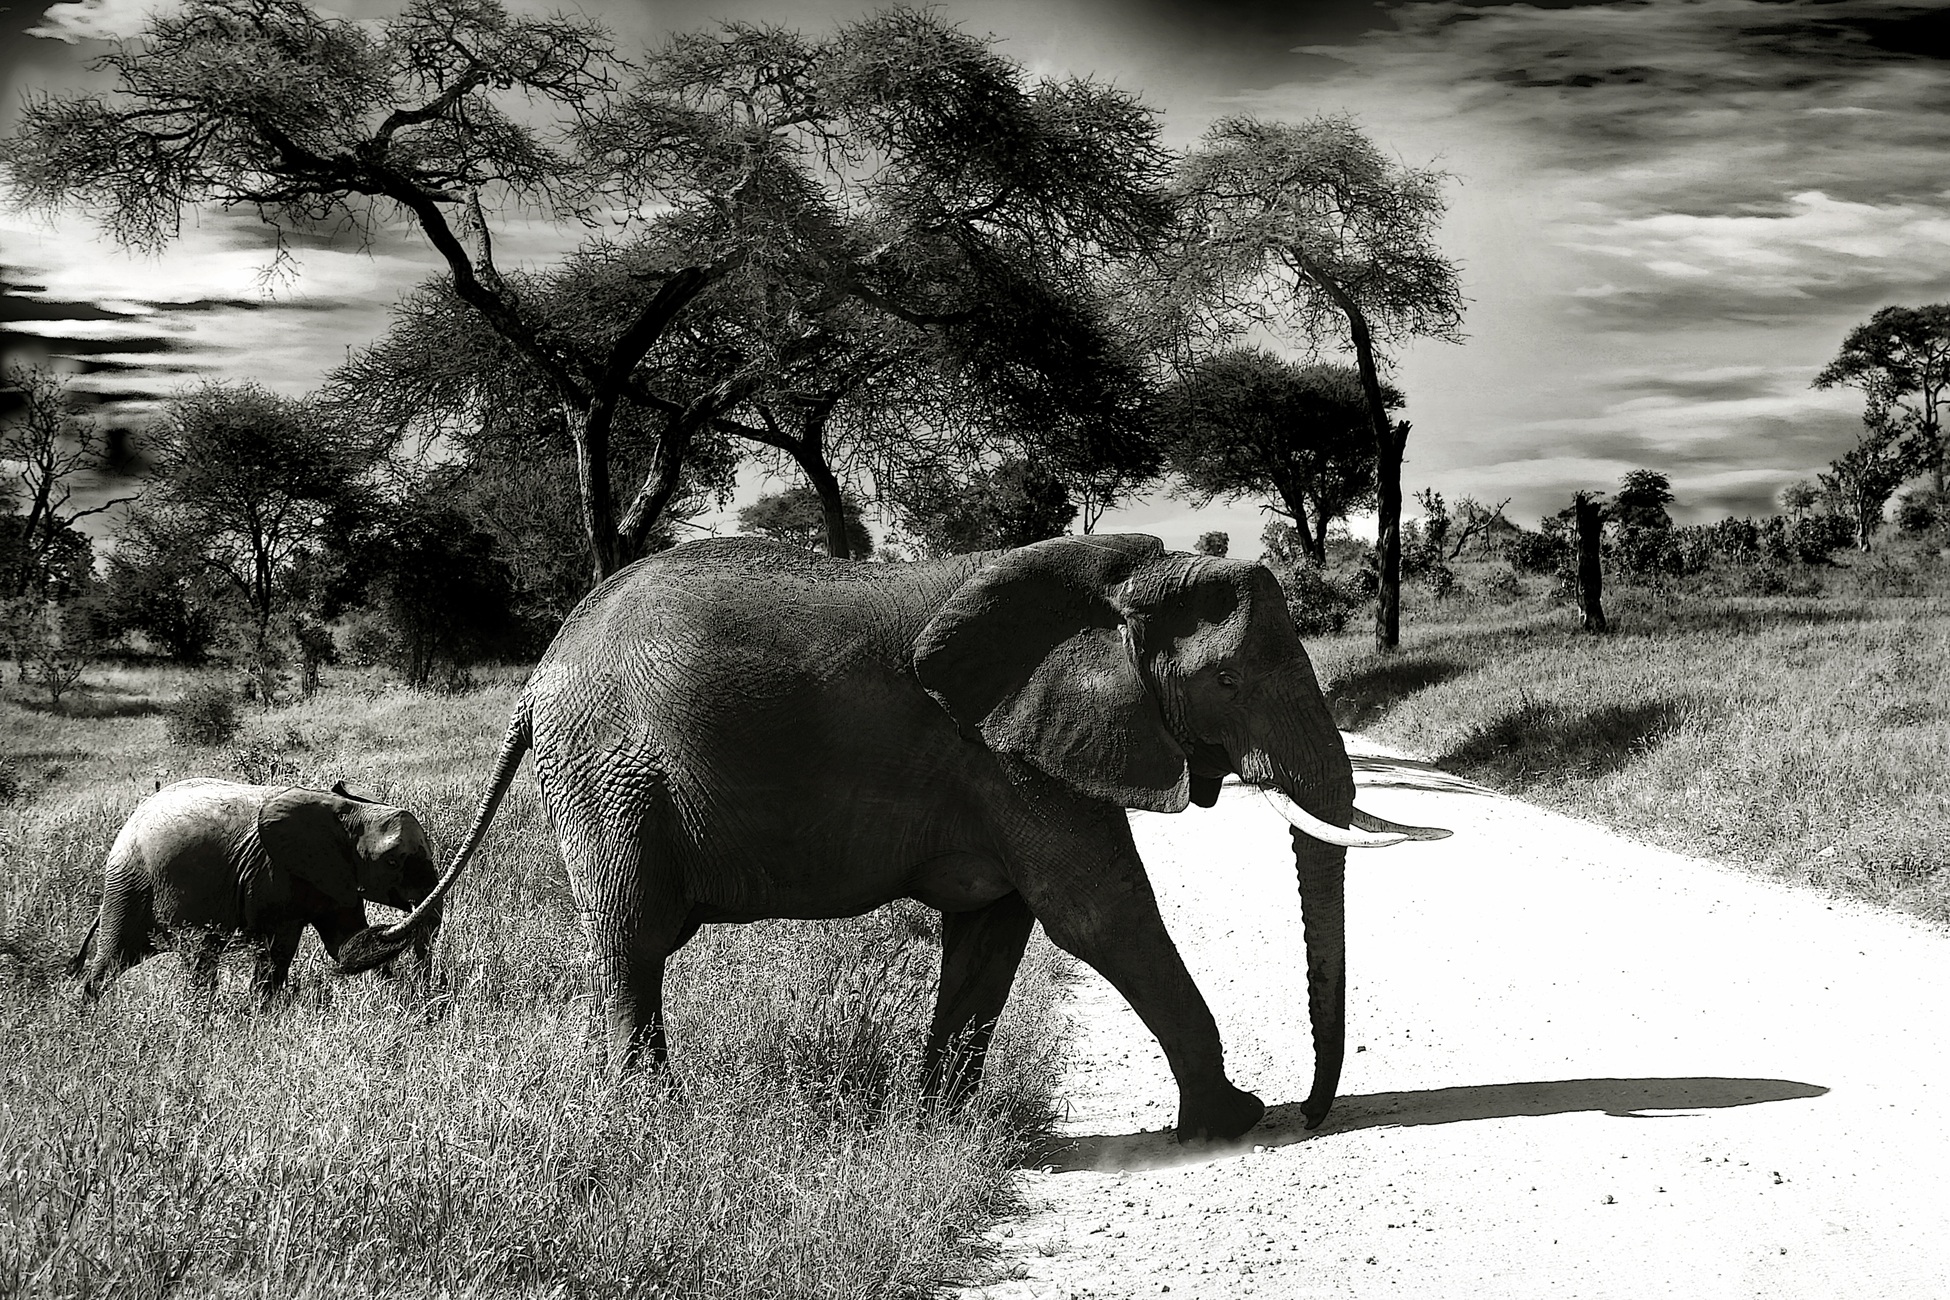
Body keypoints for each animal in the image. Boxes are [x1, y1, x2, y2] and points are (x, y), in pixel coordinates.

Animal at [72, 777, 439, 1006]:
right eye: (392, 862)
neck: (348, 810)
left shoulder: (335, 874)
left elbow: (346, 944)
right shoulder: (273, 872)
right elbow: (280, 947)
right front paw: (262, 1013)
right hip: (129, 882)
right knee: (132, 956)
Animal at [342, 534, 1446, 1142]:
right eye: (1227, 682)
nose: (1314, 1111)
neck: (1120, 578)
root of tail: (536, 678)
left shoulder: (1005, 756)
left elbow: (998, 929)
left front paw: (935, 1129)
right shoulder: (1005, 753)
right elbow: (1099, 914)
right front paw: (1233, 1121)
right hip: (608, 777)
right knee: (632, 940)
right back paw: (653, 1120)